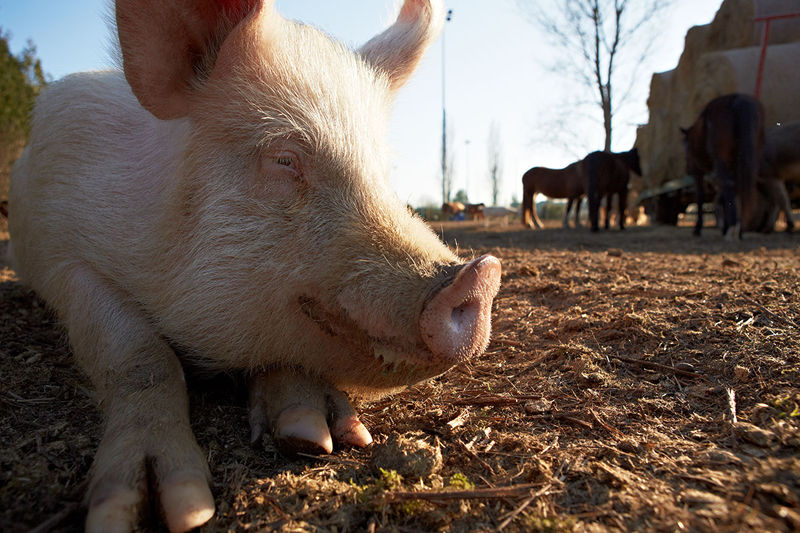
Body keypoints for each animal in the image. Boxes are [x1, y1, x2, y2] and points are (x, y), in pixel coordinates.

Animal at [7, 1, 500, 532]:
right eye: (284, 159)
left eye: (384, 173)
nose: (479, 276)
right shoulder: (61, 257)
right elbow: (139, 354)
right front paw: (164, 510)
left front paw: (317, 434)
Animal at [680, 93, 764, 239]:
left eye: (686, 150)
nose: (687, 169)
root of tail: (737, 99)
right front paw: (725, 227)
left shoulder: (698, 172)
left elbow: (700, 196)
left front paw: (698, 228)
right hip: (749, 158)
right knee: (739, 188)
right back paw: (739, 230)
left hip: (721, 161)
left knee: (728, 186)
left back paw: (732, 229)